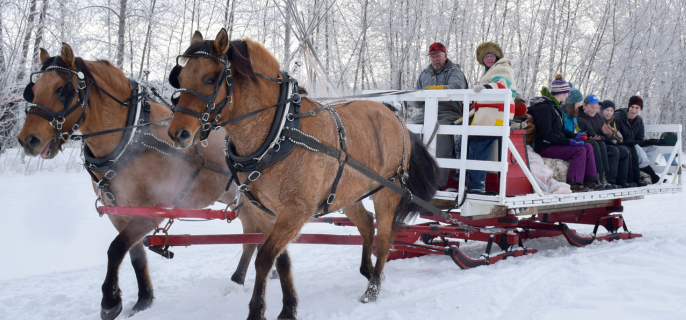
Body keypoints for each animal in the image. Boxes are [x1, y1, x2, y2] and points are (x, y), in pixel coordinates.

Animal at [169, 28, 444, 318]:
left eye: (210, 80)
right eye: (181, 79)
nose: (178, 133)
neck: (279, 132)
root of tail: (395, 117)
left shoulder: (296, 211)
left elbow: (264, 258)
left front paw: (257, 311)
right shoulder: (265, 212)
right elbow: (281, 261)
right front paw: (289, 307)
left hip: (387, 192)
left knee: (385, 236)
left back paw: (373, 288)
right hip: (347, 193)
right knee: (367, 224)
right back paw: (368, 272)